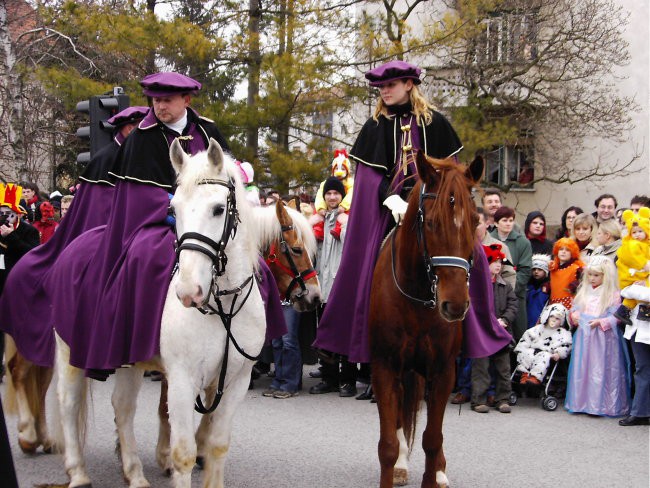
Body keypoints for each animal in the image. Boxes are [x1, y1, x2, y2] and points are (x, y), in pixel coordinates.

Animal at [53, 138, 266, 488]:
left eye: (218, 209)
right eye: (172, 210)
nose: (189, 291)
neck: (223, 306)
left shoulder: (237, 380)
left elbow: (217, 446)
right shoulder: (181, 379)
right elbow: (184, 454)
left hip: (127, 358)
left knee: (123, 407)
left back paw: (135, 474)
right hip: (69, 349)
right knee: (68, 404)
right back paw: (79, 472)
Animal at [370, 152, 480, 488]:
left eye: (475, 221)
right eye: (431, 223)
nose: (455, 305)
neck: (419, 296)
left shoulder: (444, 371)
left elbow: (433, 439)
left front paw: (434, 474)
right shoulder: (384, 367)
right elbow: (387, 445)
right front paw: (394, 466)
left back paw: (440, 472)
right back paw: (402, 465)